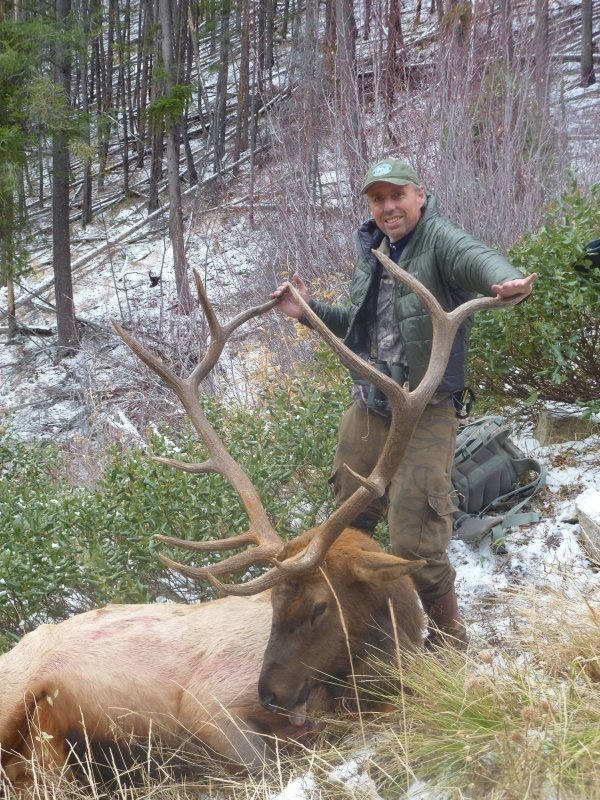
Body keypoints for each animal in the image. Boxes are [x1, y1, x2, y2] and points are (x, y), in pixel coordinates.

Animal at [0, 260, 516, 792]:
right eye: (271, 604)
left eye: (320, 606)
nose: (270, 693)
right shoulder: (207, 701)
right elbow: (263, 768)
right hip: (14, 692)